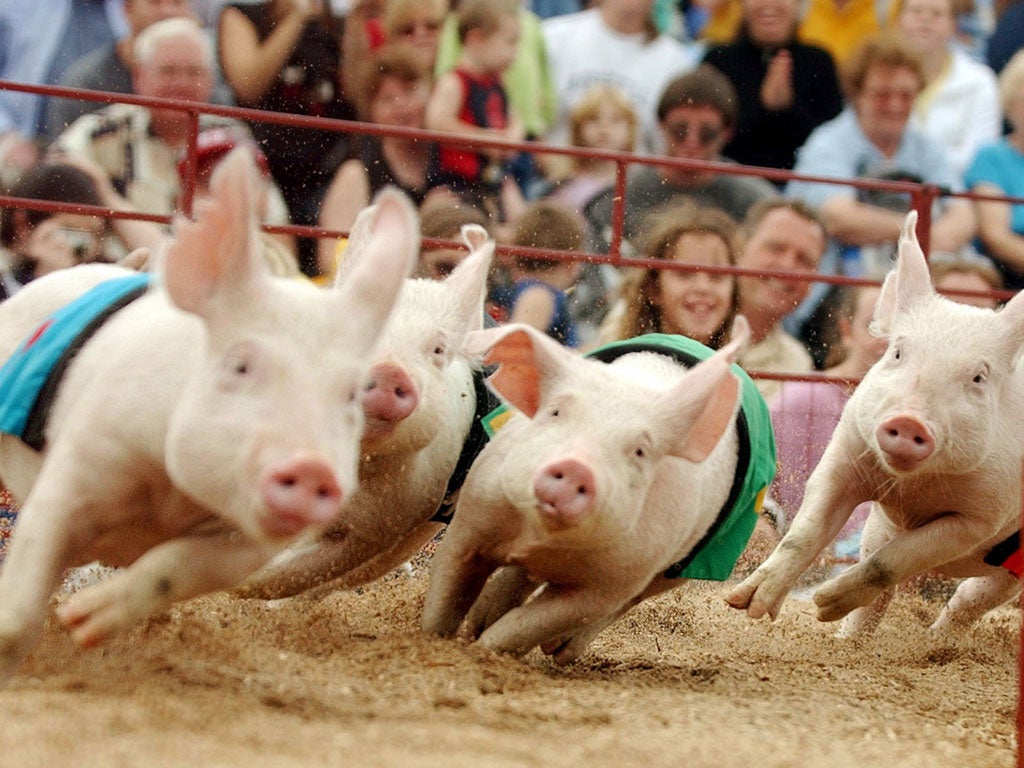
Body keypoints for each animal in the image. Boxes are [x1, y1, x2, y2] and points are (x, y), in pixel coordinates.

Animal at [0, 151, 419, 684]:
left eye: (351, 392)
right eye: (239, 366)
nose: (311, 467)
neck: (167, 499)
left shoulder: (247, 546)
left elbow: (182, 567)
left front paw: (85, 622)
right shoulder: (79, 463)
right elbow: (18, 607)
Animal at [417, 315, 774, 663]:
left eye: (640, 451)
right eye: (555, 412)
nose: (577, 466)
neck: (542, 538)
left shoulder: (615, 580)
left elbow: (532, 624)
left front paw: (484, 651)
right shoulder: (473, 518)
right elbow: (446, 593)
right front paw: (440, 641)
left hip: (694, 560)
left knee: (628, 601)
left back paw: (559, 650)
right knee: (519, 577)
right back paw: (484, 618)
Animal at [724, 211, 1024, 638]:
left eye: (978, 378)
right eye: (898, 352)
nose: (909, 420)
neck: (912, 491)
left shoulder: (981, 517)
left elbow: (895, 559)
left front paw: (824, 604)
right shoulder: (846, 454)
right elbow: (805, 533)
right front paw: (745, 605)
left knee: (969, 599)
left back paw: (934, 644)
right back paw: (849, 641)